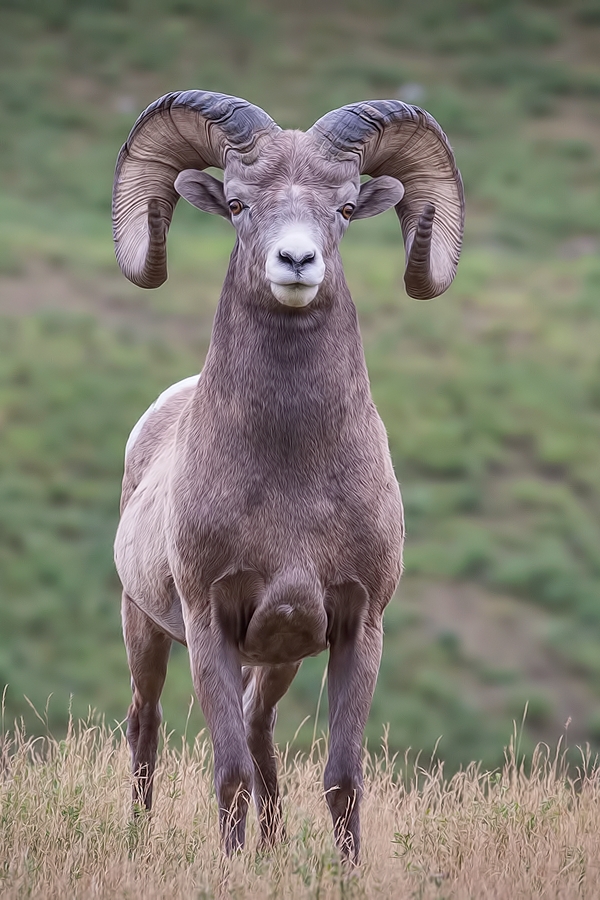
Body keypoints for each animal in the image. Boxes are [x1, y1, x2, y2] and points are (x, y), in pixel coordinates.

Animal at [111, 89, 464, 856]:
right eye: (239, 204)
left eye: (344, 207)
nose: (296, 261)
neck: (292, 484)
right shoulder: (209, 623)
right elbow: (230, 772)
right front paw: (230, 866)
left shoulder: (357, 627)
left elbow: (342, 778)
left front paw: (344, 870)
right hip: (144, 627)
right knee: (147, 724)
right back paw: (140, 839)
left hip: (276, 659)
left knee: (257, 723)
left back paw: (272, 849)